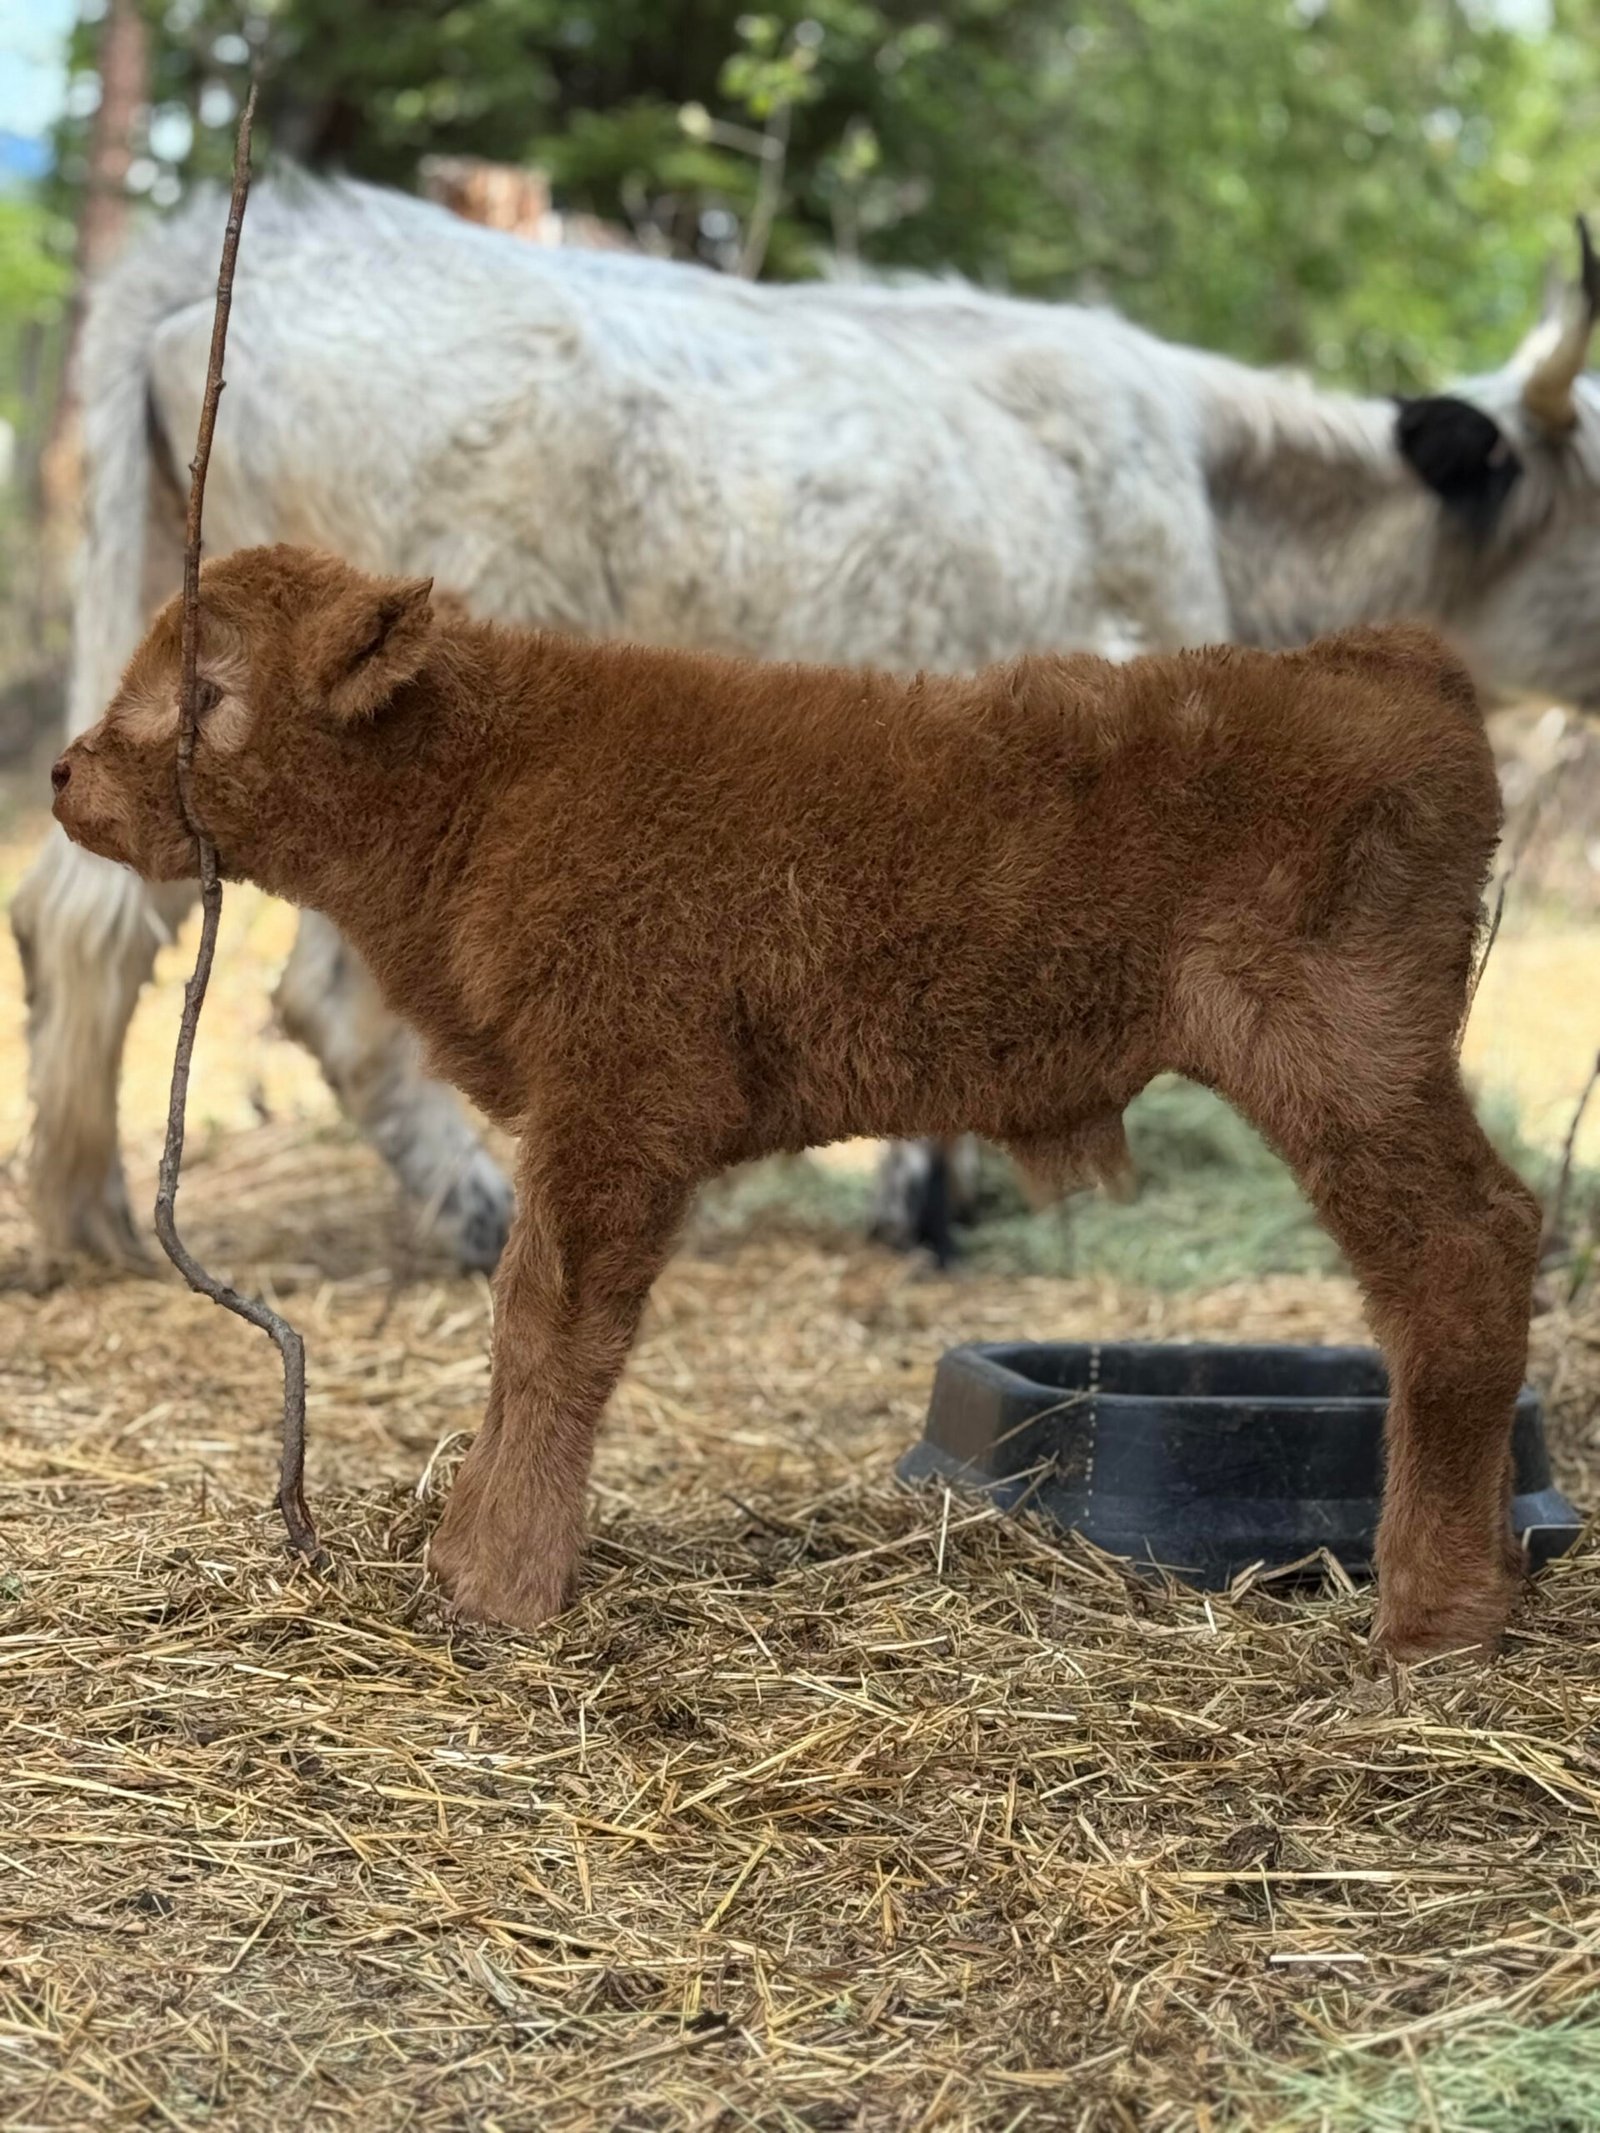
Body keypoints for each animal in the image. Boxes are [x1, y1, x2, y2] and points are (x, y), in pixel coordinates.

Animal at [11, 174, 1600, 1277]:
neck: (1208, 485)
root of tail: (258, 247)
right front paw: (931, 1205)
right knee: (325, 999)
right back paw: (467, 1215)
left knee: (81, 916)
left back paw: (91, 1222)